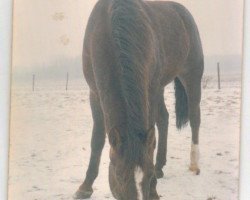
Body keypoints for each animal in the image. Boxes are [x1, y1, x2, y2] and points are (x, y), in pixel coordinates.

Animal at [73, 0, 203, 199]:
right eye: (119, 176)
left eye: (147, 176)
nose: (152, 178)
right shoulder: (94, 93)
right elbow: (97, 140)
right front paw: (85, 186)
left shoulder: (149, 89)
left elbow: (151, 142)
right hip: (160, 87)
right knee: (163, 119)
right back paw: (160, 166)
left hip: (191, 76)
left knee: (195, 117)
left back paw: (193, 164)